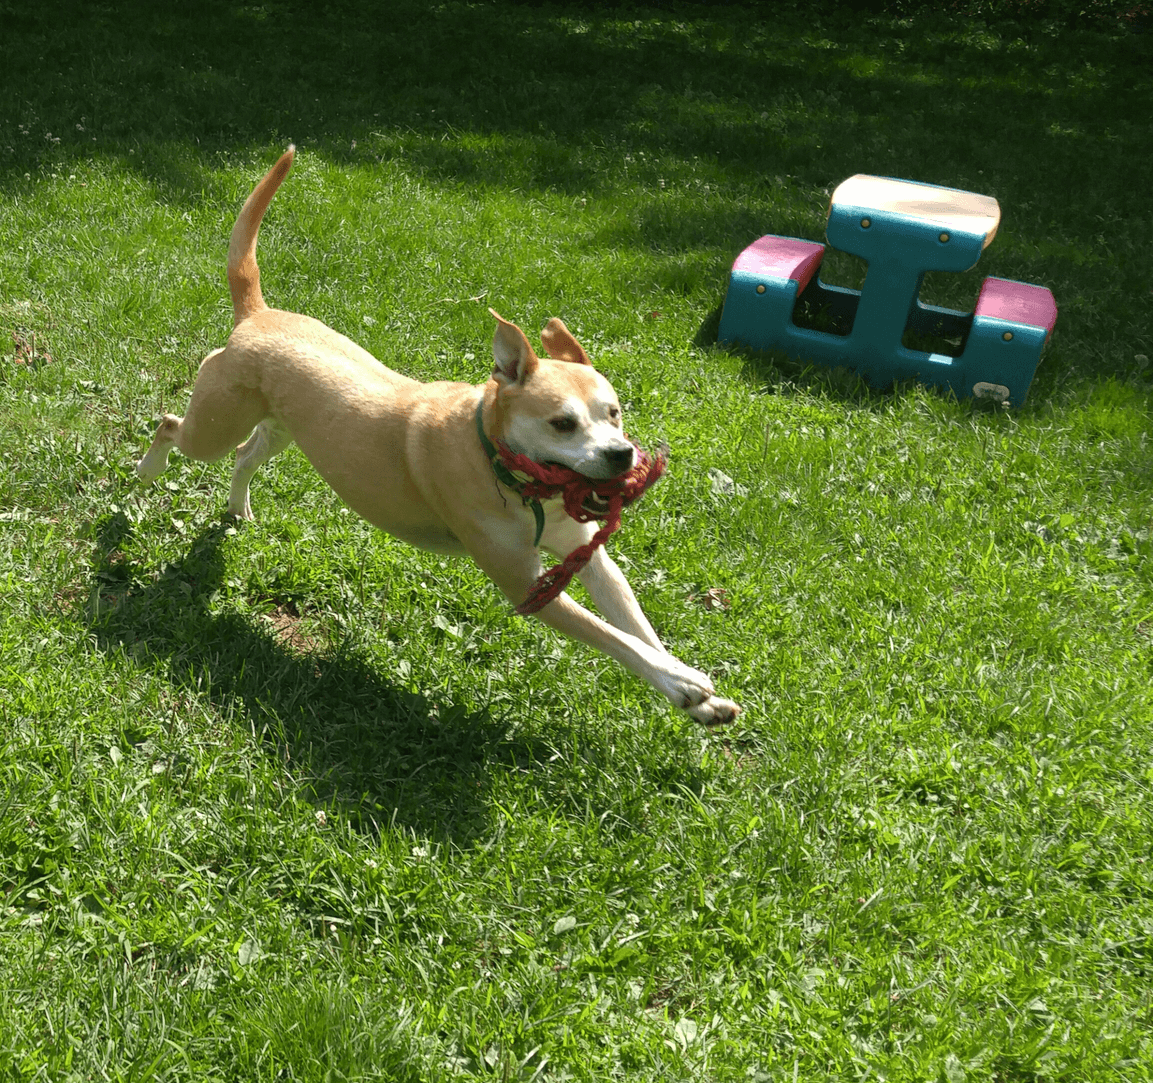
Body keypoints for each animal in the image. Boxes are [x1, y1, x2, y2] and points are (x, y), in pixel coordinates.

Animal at [139, 148, 737, 724]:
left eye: (614, 413)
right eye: (562, 423)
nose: (621, 456)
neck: (506, 469)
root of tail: (257, 315)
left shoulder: (584, 552)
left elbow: (635, 622)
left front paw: (694, 692)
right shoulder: (524, 583)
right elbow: (615, 637)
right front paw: (684, 683)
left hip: (280, 427)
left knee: (245, 456)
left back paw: (238, 507)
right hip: (214, 424)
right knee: (170, 425)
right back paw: (148, 470)